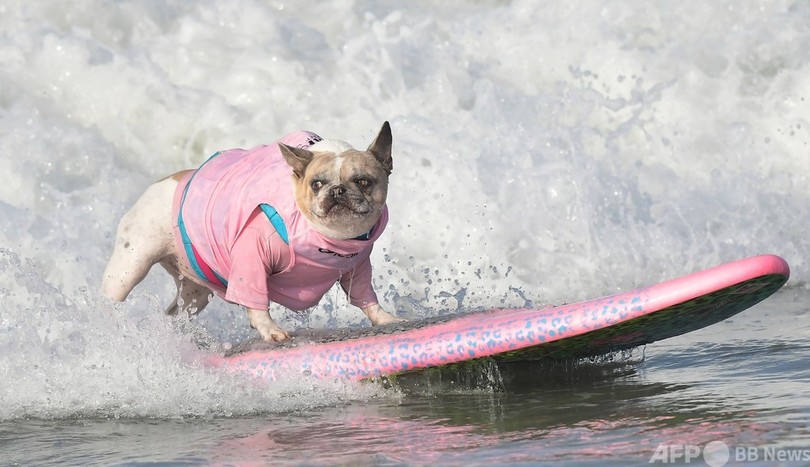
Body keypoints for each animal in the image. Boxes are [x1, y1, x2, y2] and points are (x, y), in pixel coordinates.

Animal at [102, 122, 402, 342]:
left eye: (363, 181)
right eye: (317, 184)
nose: (338, 190)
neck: (330, 240)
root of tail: (164, 181)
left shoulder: (357, 267)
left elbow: (364, 295)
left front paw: (383, 318)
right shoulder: (252, 258)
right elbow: (256, 299)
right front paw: (269, 330)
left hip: (196, 292)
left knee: (178, 312)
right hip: (131, 266)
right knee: (114, 293)